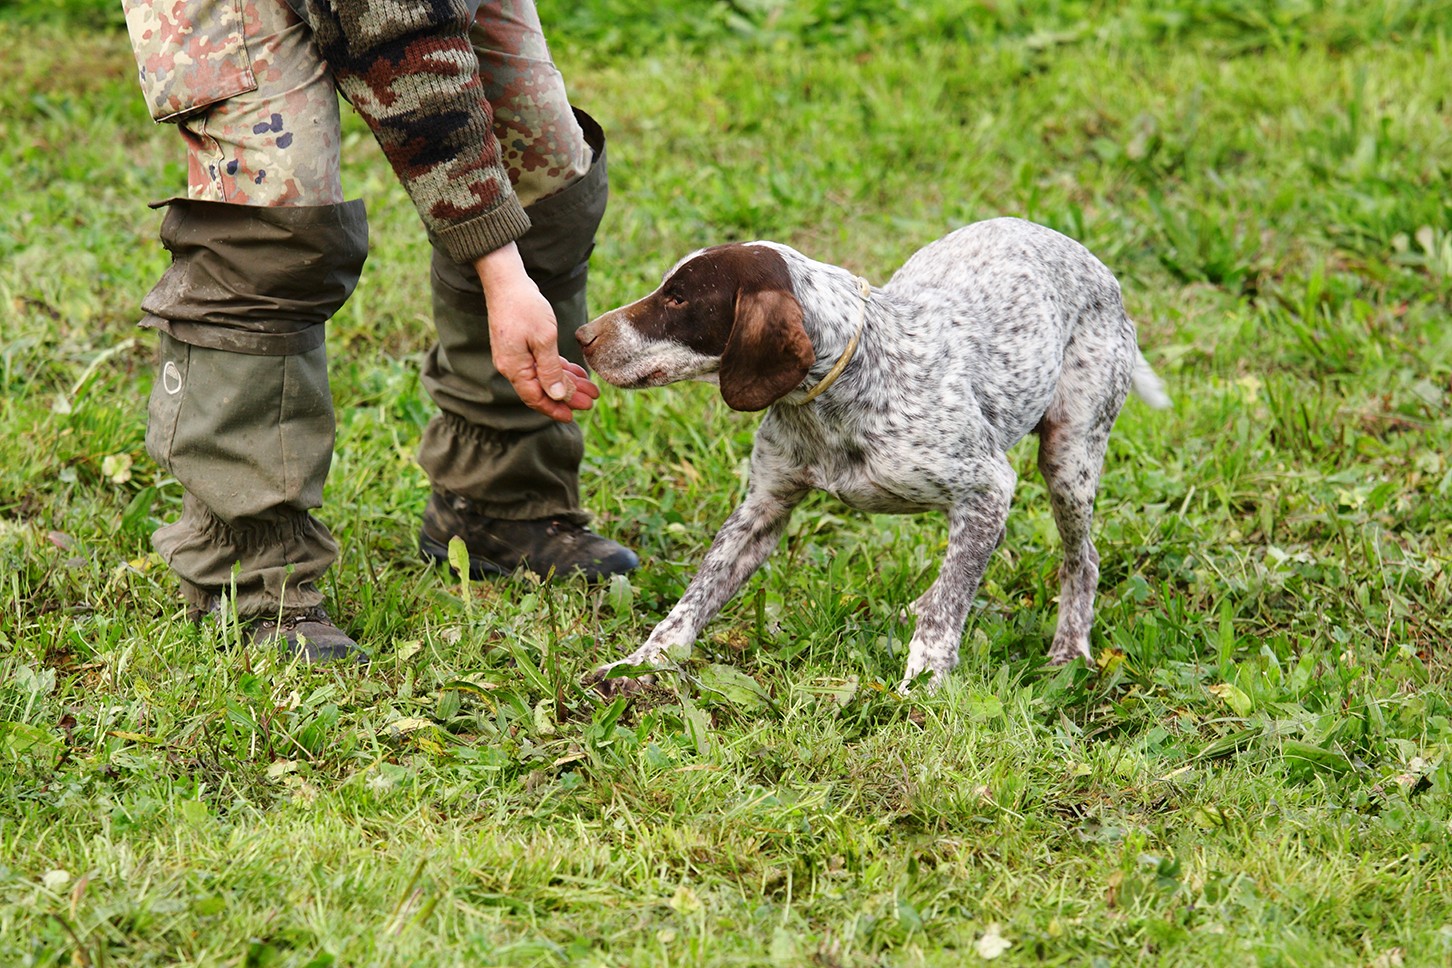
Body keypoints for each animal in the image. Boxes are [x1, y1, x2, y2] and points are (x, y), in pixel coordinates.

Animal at [577, 216, 1167, 693]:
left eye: (679, 300)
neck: (839, 393)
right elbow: (694, 598)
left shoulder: (988, 488)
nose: (582, 335)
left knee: (1081, 559)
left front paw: (924, 684)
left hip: (1069, 457)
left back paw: (1069, 650)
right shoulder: (763, 507)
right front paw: (642, 662)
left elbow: (946, 611)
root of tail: (1095, 264)